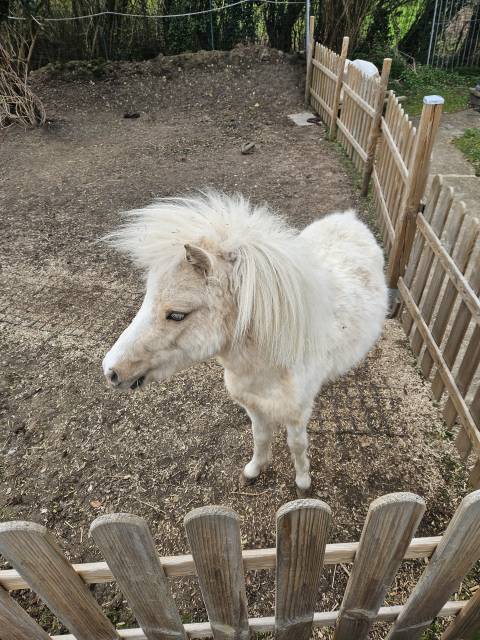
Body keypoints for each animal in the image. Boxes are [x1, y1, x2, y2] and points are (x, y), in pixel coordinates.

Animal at [102, 191, 388, 496]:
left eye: (177, 314)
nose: (111, 371)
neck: (269, 363)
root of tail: (349, 218)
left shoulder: (297, 414)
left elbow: (297, 446)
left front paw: (303, 482)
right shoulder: (253, 407)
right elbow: (260, 437)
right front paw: (253, 471)